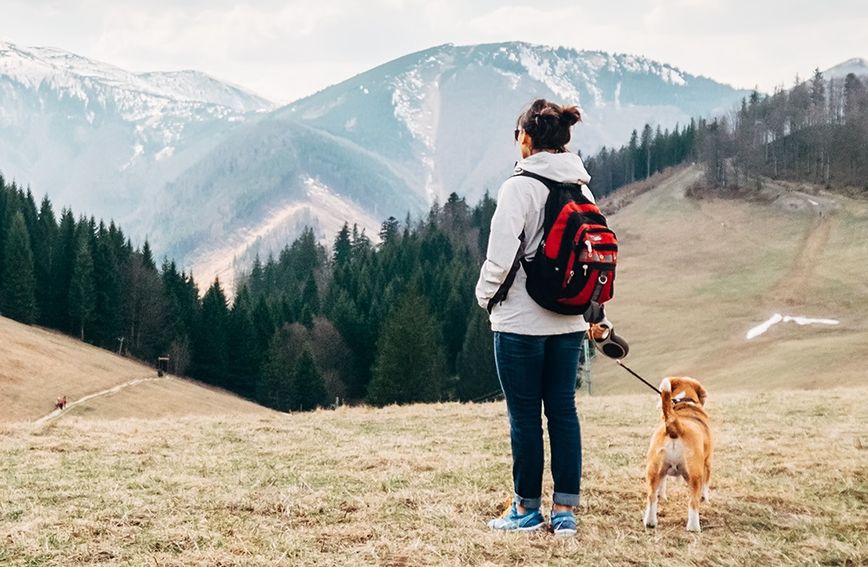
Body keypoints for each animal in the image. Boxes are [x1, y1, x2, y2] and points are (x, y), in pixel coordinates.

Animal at [644, 378, 712, 532]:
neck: (684, 402)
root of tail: (675, 425)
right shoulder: (708, 462)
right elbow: (706, 486)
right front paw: (706, 500)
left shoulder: (662, 472)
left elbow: (662, 485)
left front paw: (662, 496)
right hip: (695, 475)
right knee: (693, 502)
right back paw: (694, 527)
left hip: (653, 470)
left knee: (651, 497)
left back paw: (650, 522)